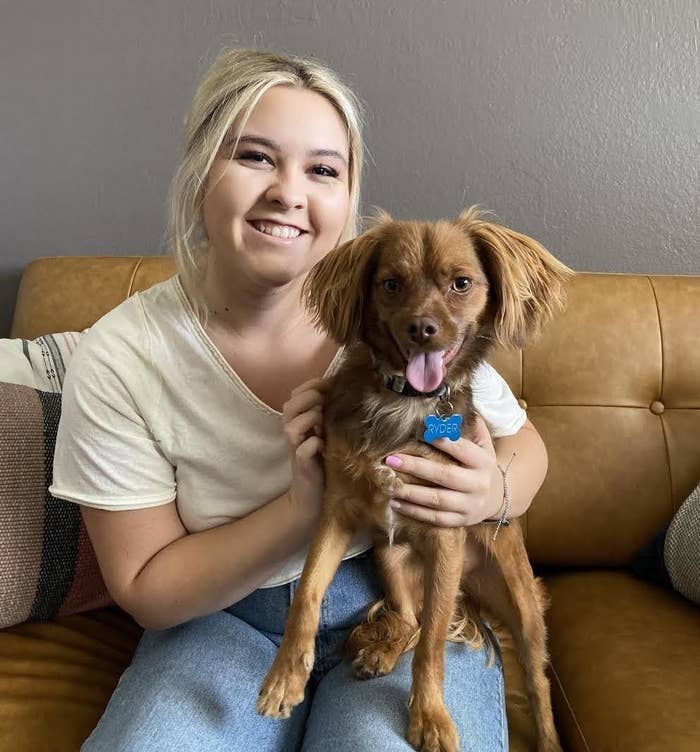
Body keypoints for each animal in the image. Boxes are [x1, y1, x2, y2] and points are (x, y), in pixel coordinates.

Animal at [258, 207, 576, 752]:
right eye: (391, 284)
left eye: (461, 283)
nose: (422, 328)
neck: (403, 402)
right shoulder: (337, 512)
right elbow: (308, 595)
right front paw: (284, 677)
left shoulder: (446, 533)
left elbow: (432, 648)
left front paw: (429, 717)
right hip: (388, 555)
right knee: (410, 617)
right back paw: (381, 652)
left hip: (523, 604)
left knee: (532, 679)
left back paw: (549, 739)